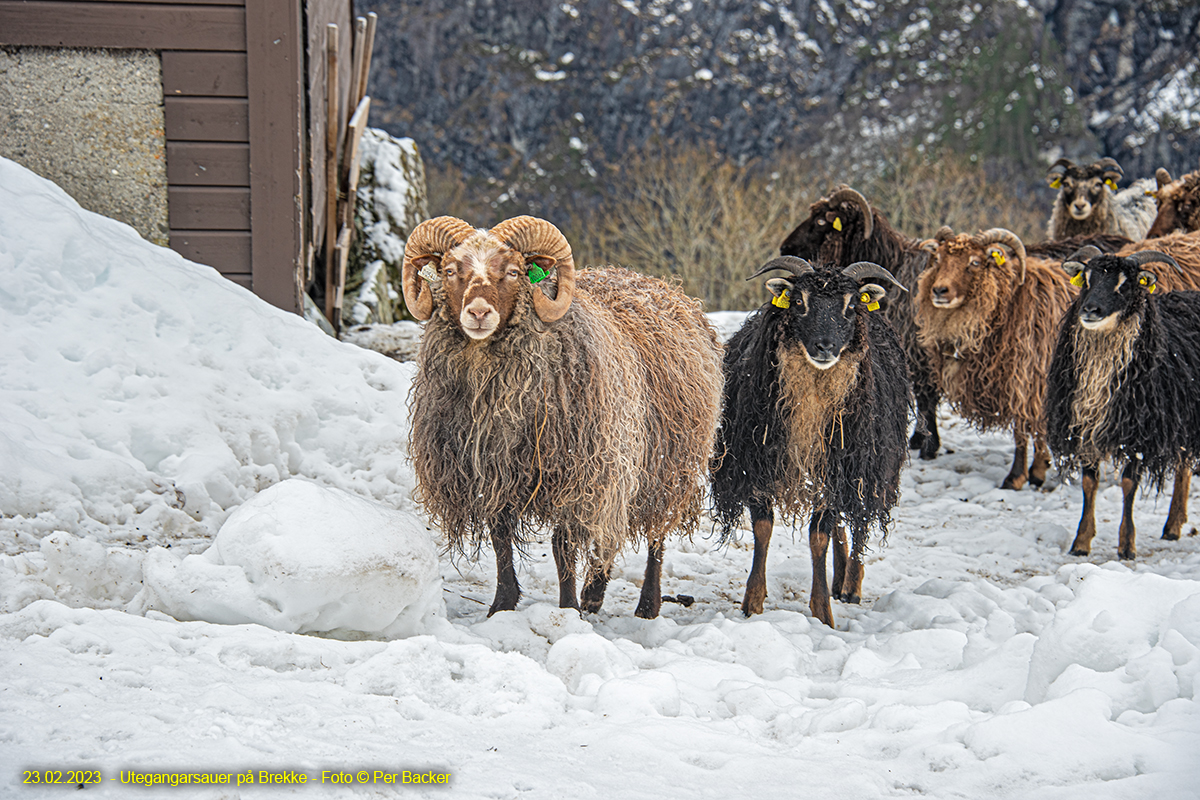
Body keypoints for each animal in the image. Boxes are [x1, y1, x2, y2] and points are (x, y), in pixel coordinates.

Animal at [403, 217, 720, 618]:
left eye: (513, 271)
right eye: (448, 271)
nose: (477, 313)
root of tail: (662, 286)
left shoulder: (577, 472)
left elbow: (562, 546)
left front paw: (568, 608)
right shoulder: (493, 472)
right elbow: (500, 537)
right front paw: (502, 605)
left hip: (668, 466)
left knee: (656, 535)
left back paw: (646, 603)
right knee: (610, 531)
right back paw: (595, 593)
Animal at [710, 260, 907, 628]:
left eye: (850, 305)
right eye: (799, 302)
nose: (824, 347)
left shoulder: (839, 470)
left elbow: (819, 537)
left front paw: (823, 612)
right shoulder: (757, 463)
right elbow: (763, 529)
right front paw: (752, 602)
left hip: (869, 467)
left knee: (859, 522)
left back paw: (852, 584)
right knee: (844, 524)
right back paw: (839, 578)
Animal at [1041, 247, 1200, 561]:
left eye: (1125, 284)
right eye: (1086, 279)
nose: (1090, 310)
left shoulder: (1139, 434)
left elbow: (1128, 484)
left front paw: (1127, 546)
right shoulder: (1084, 426)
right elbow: (1089, 484)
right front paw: (1081, 542)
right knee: (1184, 466)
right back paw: (1173, 527)